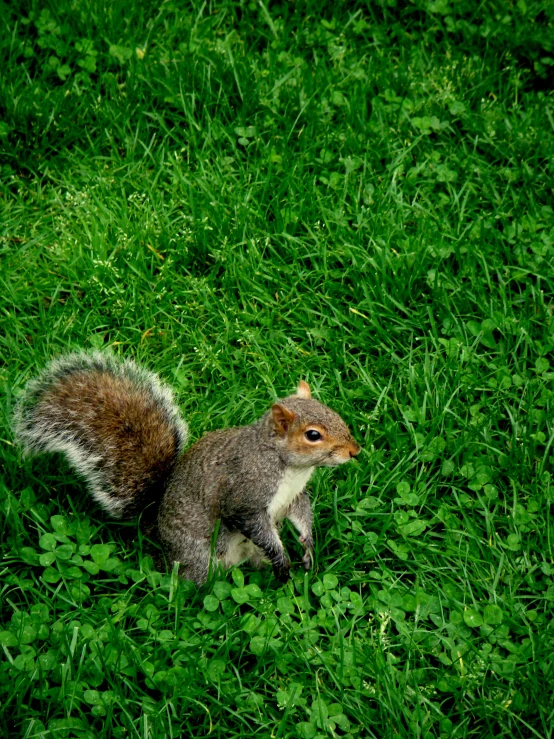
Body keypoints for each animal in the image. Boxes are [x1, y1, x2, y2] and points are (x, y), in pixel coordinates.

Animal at [14, 350, 358, 588]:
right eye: (312, 435)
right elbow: (253, 523)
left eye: (332, 411)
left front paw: (307, 546)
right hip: (198, 557)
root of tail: (155, 527)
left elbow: (301, 515)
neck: (289, 468)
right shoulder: (245, 494)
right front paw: (282, 557)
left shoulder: (293, 496)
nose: (353, 451)